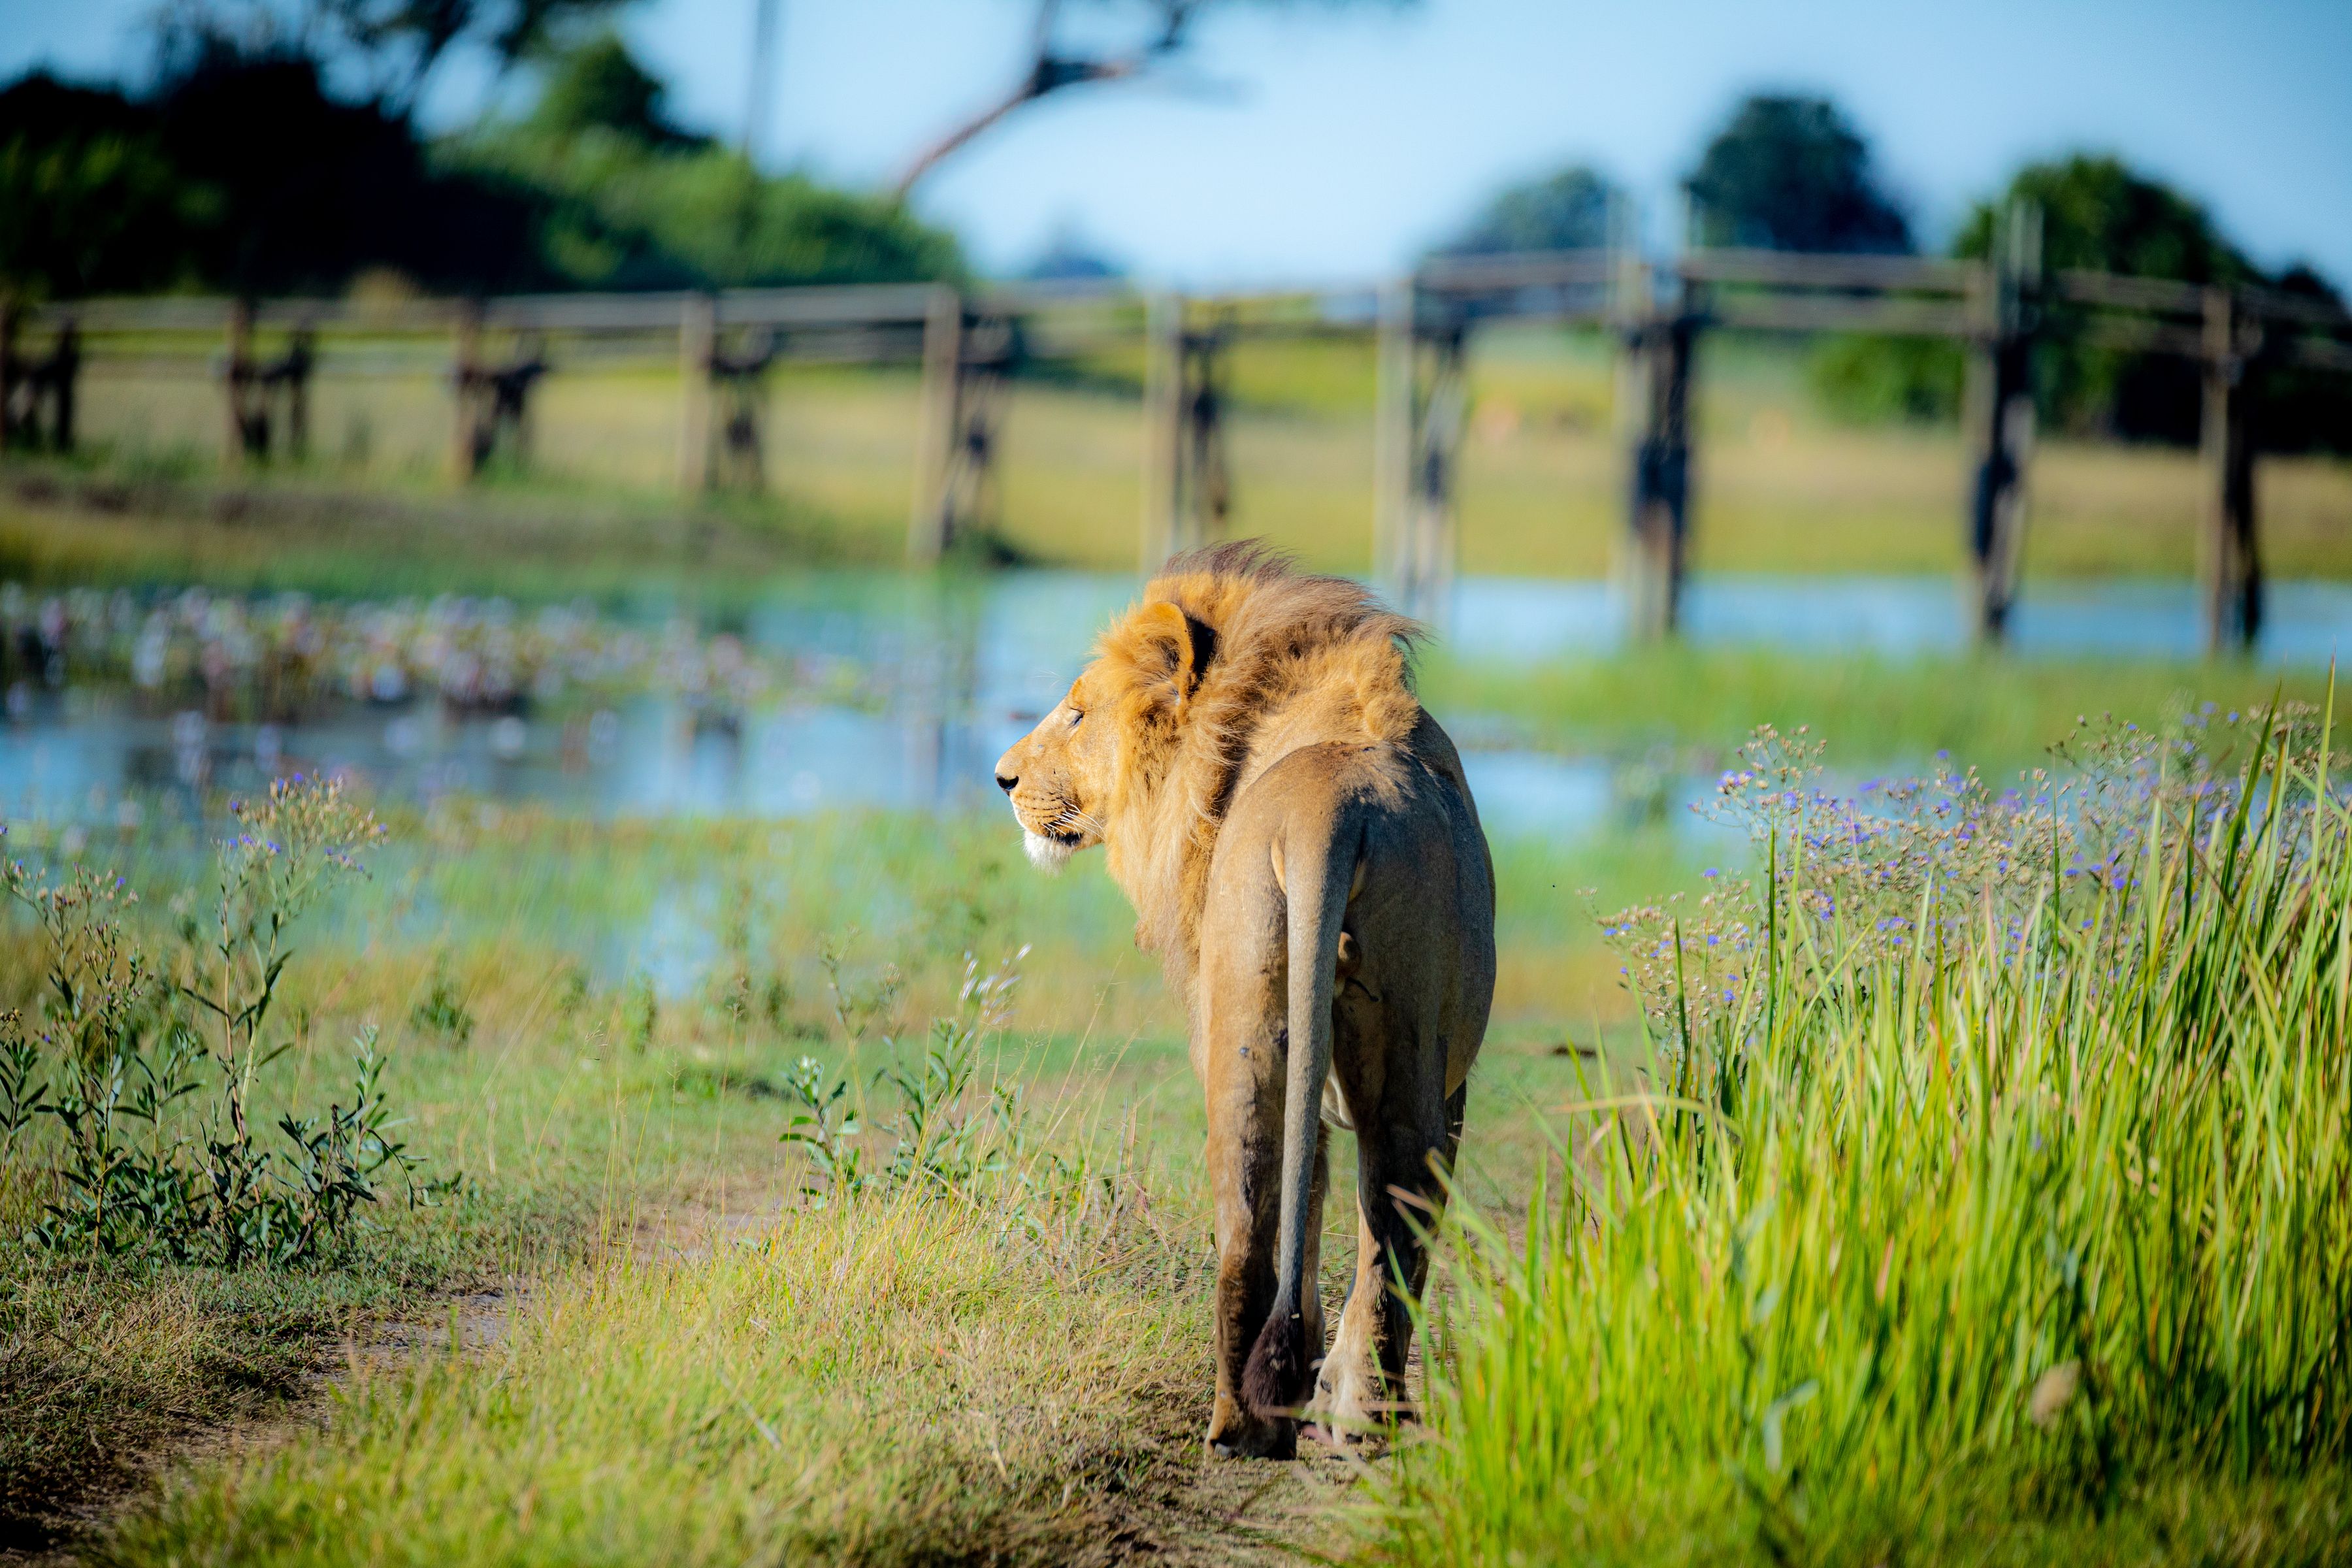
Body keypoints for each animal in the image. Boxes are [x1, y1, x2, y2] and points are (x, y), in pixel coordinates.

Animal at [992, 542, 1495, 1459]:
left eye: (1078, 714)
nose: (1002, 776)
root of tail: (1335, 806)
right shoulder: (1451, 1080)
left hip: (1240, 1014)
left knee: (1251, 1206)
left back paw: (1243, 1421)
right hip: (1403, 1048)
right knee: (1392, 1211)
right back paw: (1357, 1416)